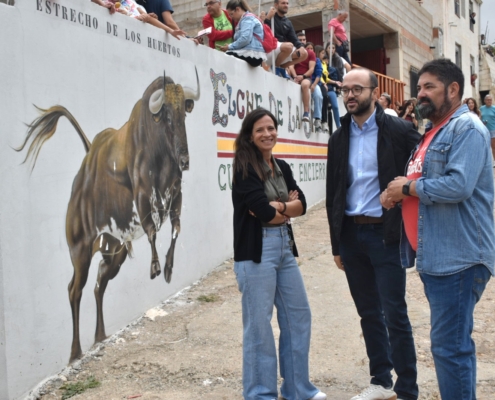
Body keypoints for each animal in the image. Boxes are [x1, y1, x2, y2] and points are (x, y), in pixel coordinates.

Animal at [16, 69, 201, 362]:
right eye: (167, 116)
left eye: (184, 113)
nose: (185, 161)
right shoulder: (143, 196)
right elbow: (152, 230)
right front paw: (155, 267)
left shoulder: (176, 196)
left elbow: (175, 229)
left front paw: (169, 268)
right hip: (79, 249)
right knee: (74, 289)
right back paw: (75, 352)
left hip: (114, 250)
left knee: (99, 283)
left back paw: (100, 336)